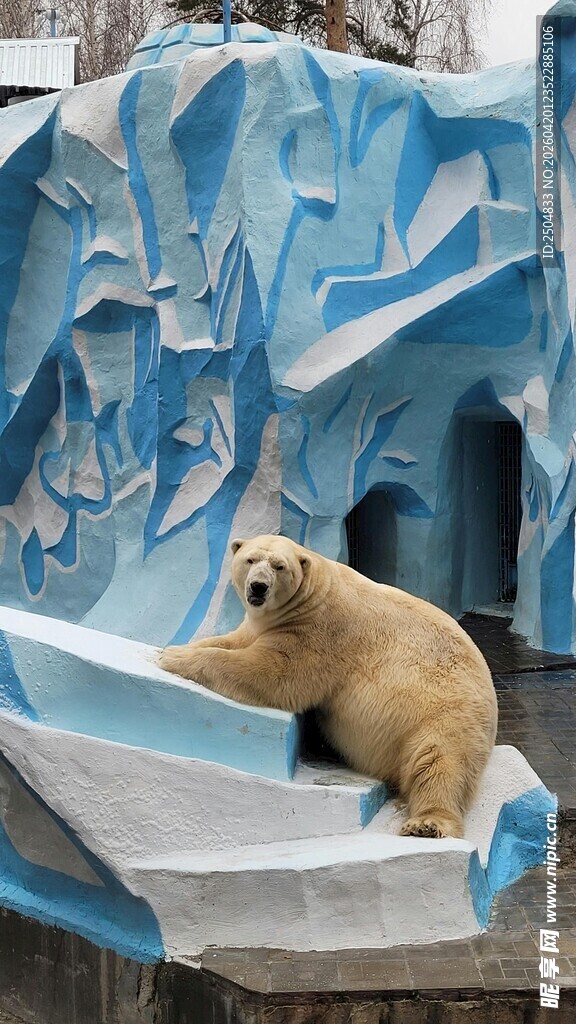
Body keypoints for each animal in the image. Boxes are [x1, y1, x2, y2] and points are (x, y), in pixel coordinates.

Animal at [158, 534, 498, 839]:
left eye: (279, 566)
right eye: (250, 559)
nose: (258, 586)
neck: (312, 594)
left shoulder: (320, 632)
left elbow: (275, 674)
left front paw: (173, 657)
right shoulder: (265, 625)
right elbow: (235, 640)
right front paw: (176, 646)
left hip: (444, 712)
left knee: (439, 761)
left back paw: (427, 823)